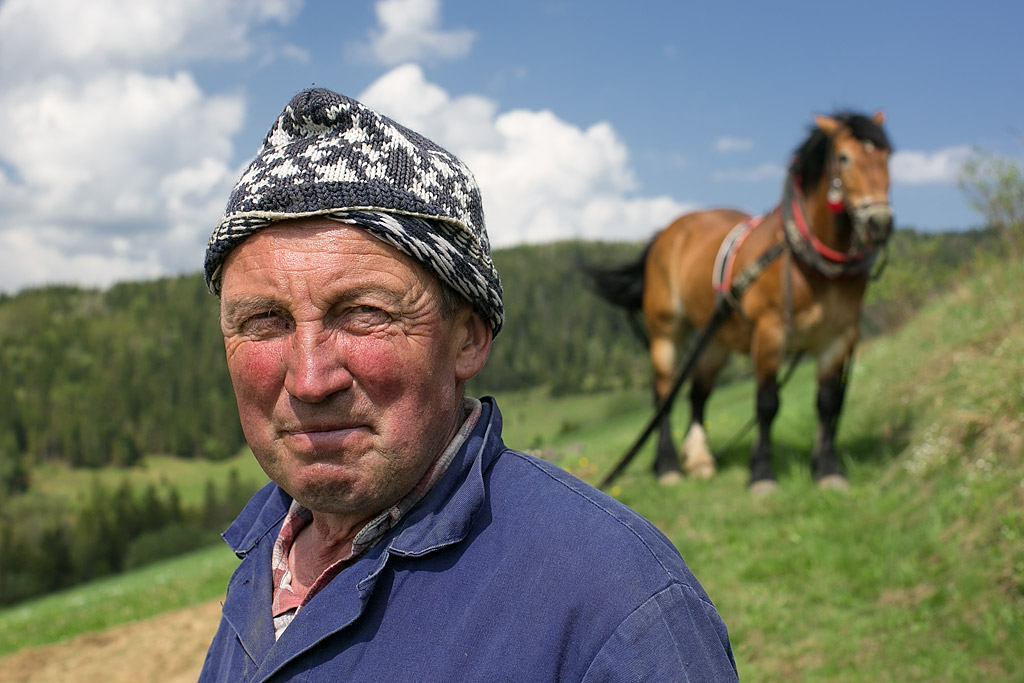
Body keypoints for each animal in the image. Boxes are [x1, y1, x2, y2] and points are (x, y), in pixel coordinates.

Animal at [586, 111, 893, 493]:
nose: (880, 222)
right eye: (845, 157)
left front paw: (827, 469)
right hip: (665, 330)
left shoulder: (839, 338)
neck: (811, 266)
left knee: (697, 393)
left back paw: (700, 458)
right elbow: (767, 403)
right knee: (664, 393)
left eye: (887, 157)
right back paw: (668, 465)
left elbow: (827, 402)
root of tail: (666, 232)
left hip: (716, 339)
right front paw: (761, 473)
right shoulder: (769, 333)